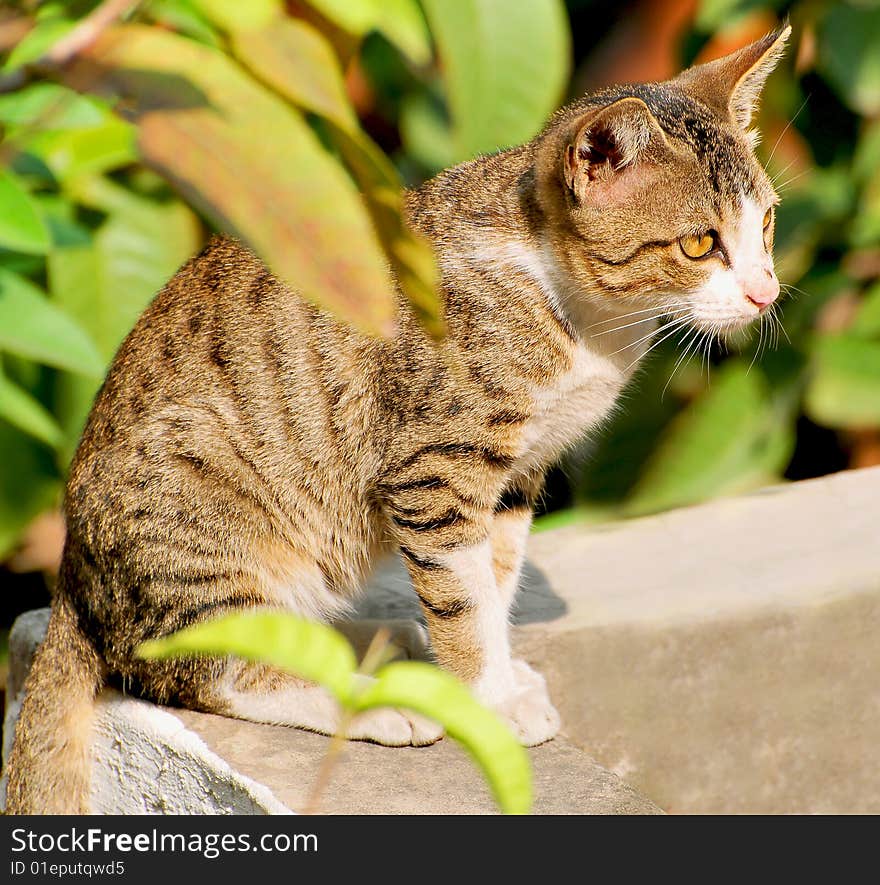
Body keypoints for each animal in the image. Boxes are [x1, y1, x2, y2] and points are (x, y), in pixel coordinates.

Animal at [5, 29, 792, 816]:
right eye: (699, 245)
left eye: (767, 222)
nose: (767, 292)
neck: (585, 321)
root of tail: (72, 580)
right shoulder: (435, 471)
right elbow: (463, 598)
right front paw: (488, 702)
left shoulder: (515, 475)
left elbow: (493, 580)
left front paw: (501, 672)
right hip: (205, 522)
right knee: (195, 666)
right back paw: (372, 700)